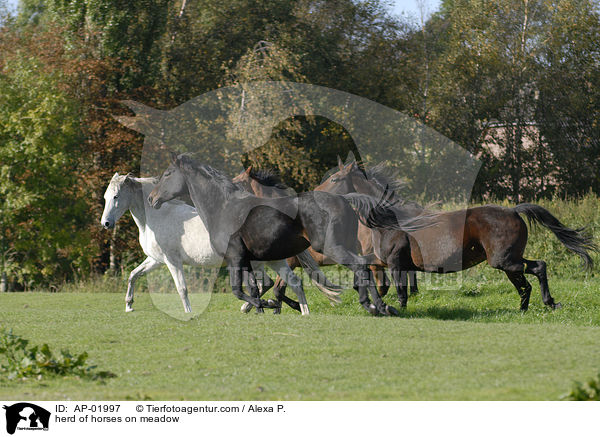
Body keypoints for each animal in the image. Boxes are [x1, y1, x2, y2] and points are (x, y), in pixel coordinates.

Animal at [101, 173, 340, 314]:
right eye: (105, 197)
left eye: (116, 197)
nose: (106, 223)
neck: (157, 217)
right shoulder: (156, 260)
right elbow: (134, 275)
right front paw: (129, 305)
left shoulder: (172, 261)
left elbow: (182, 288)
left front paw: (188, 313)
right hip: (274, 261)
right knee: (292, 284)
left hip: (264, 262)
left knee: (276, 284)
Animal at [146, 155, 426, 316]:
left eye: (168, 174)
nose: (151, 198)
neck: (224, 208)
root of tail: (344, 199)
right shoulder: (249, 260)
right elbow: (258, 288)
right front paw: (263, 307)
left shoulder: (236, 258)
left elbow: (241, 290)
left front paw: (264, 306)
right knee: (368, 271)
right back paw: (381, 305)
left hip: (331, 248)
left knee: (361, 267)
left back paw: (375, 306)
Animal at [316, 160, 596, 310]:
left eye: (335, 179)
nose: (316, 193)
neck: (389, 221)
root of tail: (514, 210)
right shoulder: (383, 261)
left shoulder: (395, 263)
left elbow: (400, 291)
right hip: (509, 260)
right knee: (529, 278)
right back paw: (530, 308)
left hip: (504, 260)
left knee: (536, 269)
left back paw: (545, 303)